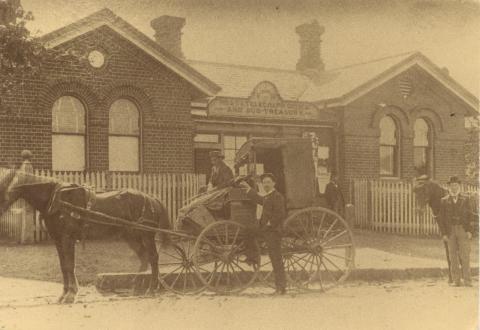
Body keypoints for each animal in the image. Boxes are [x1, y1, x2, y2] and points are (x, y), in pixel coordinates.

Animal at [0, 170, 171, 304]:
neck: (56, 199)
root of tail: (151, 198)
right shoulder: (58, 240)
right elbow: (63, 266)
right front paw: (64, 294)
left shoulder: (67, 238)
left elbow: (69, 265)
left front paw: (70, 294)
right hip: (131, 237)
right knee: (144, 258)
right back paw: (136, 286)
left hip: (146, 235)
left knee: (153, 258)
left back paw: (151, 288)